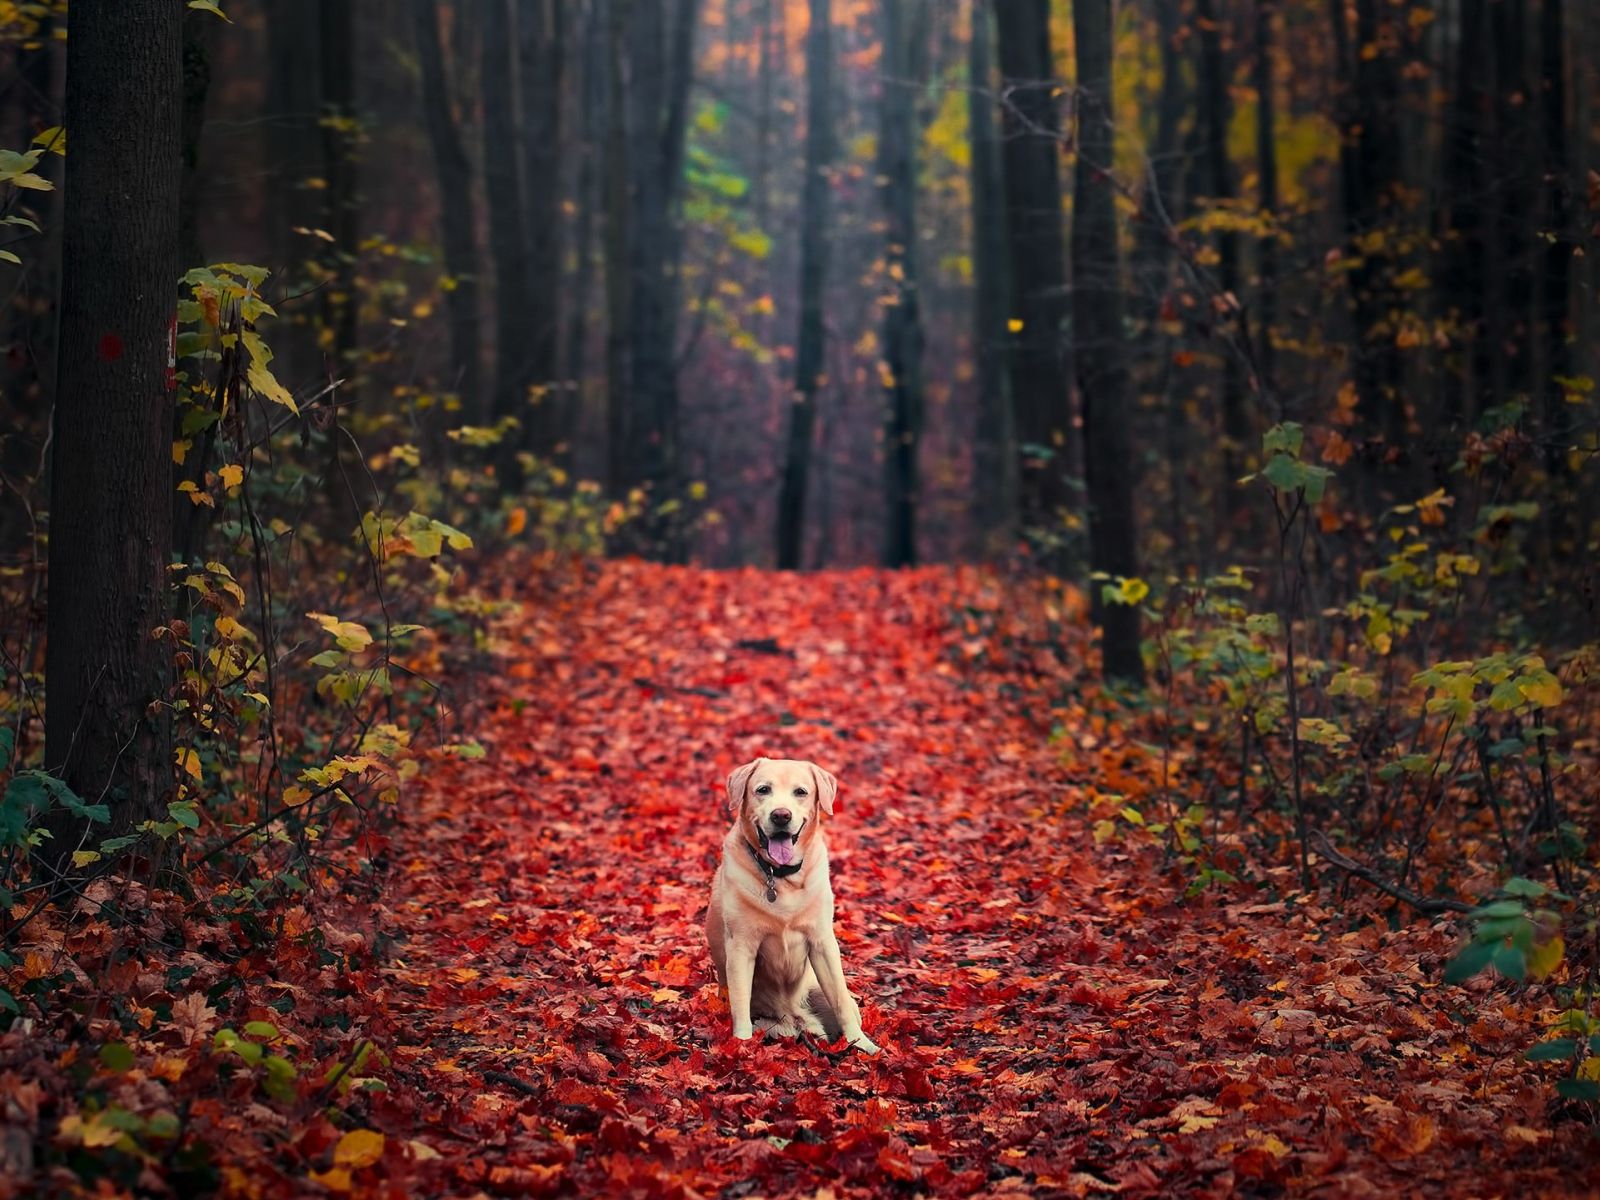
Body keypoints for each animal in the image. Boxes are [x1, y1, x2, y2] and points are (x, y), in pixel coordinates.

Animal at [707, 761, 883, 1049]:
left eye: (800, 792)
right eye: (763, 790)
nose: (781, 815)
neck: (780, 877)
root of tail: (796, 1019)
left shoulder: (822, 942)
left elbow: (840, 1002)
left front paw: (862, 1044)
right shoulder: (741, 946)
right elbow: (740, 1005)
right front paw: (741, 1045)